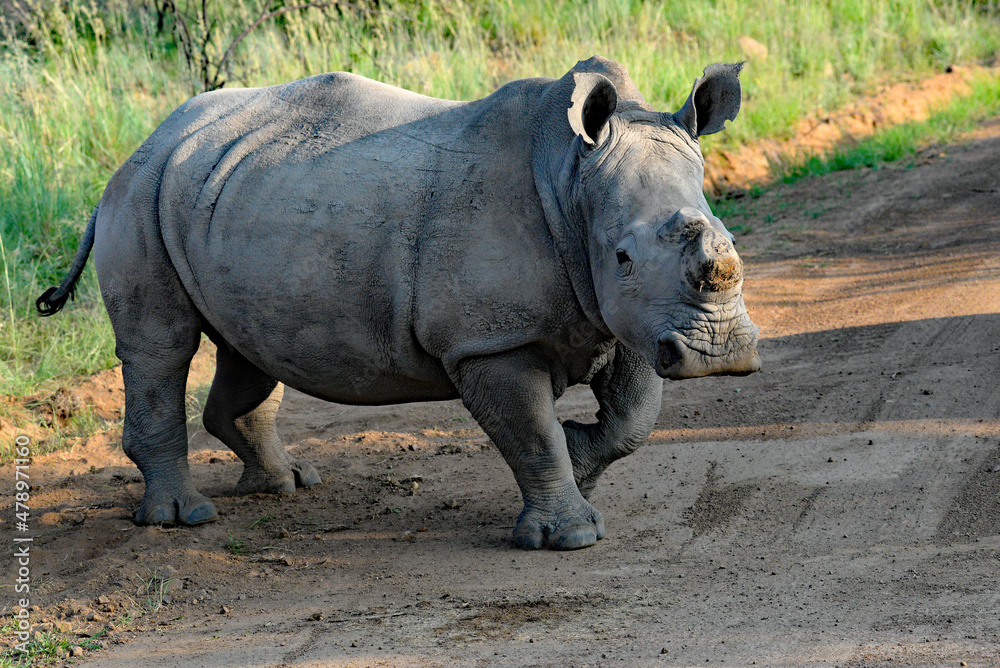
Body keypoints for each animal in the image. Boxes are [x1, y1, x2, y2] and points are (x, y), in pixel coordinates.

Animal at [39, 56, 759, 550]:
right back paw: (183, 520)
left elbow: (634, 416)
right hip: (139, 201)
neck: (572, 182)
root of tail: (143, 146)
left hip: (229, 193)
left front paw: (582, 461)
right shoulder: (488, 341)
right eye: (623, 257)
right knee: (162, 347)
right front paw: (571, 533)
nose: (720, 354)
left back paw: (287, 484)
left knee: (249, 344)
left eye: (728, 240)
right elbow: (532, 431)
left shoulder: (632, 316)